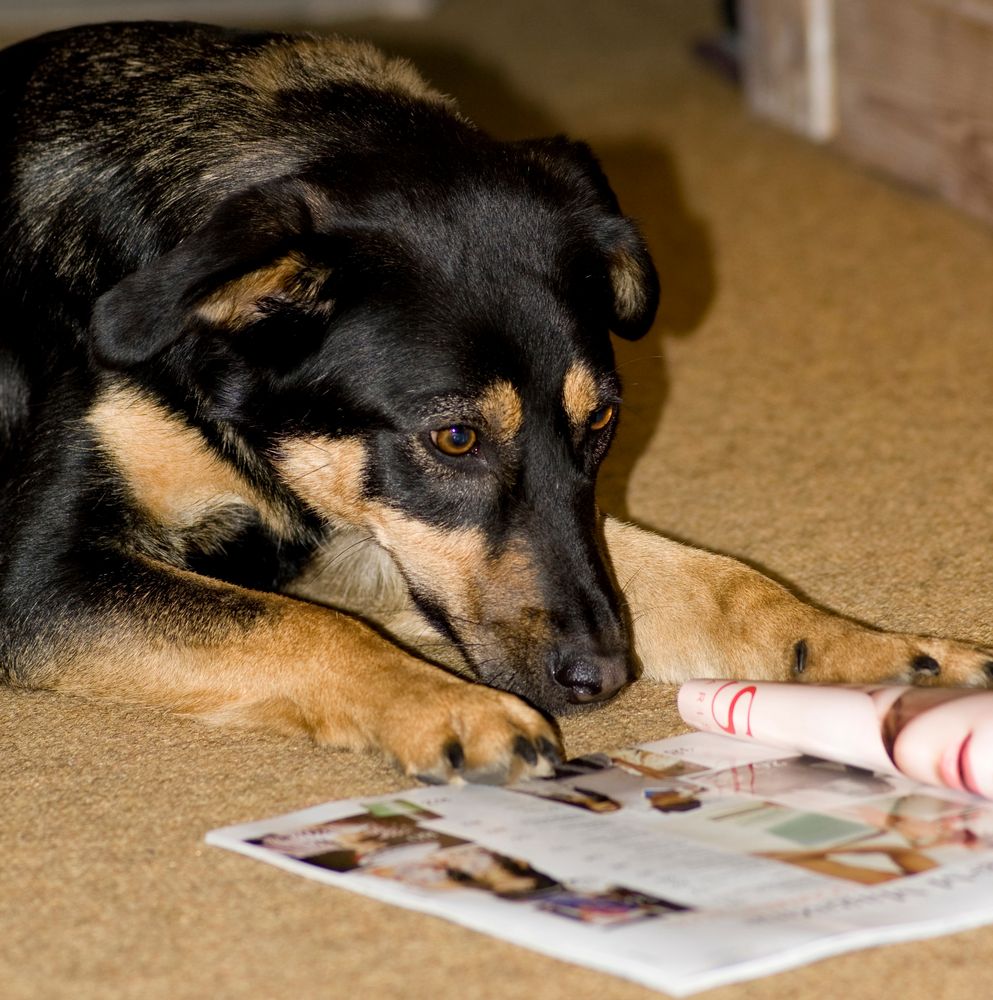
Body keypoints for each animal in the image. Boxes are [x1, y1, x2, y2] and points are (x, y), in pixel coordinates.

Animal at [1, 19, 992, 780]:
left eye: (603, 421)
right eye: (453, 438)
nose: (608, 675)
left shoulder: (357, 530)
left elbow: (719, 580)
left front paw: (878, 658)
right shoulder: (40, 577)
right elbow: (303, 630)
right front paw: (449, 707)